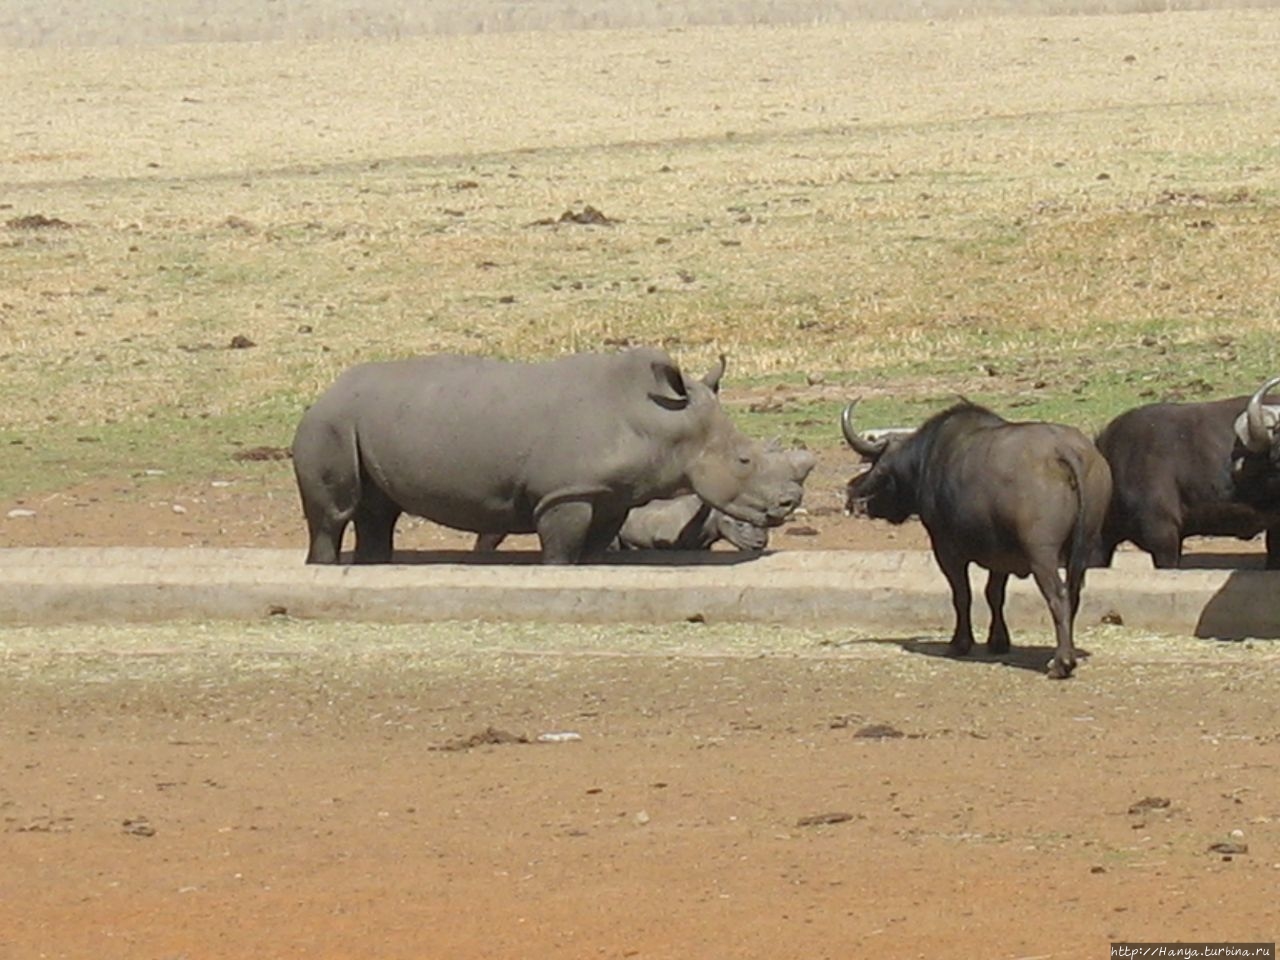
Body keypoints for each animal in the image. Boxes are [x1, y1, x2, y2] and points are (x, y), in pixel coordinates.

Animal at [294, 350, 803, 568]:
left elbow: (593, 548)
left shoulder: (610, 495)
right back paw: (326, 566)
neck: (659, 420)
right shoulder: (564, 494)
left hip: (357, 421)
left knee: (378, 512)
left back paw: (375, 565)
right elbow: (561, 550)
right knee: (334, 515)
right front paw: (555, 570)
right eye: (744, 460)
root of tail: (326, 392)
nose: (789, 504)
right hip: (329, 425)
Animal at [839, 401, 1111, 680]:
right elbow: (994, 594)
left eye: (875, 466)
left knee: (1058, 596)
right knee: (1074, 595)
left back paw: (1061, 663)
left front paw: (959, 643)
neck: (927, 459)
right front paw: (998, 641)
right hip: (1083, 548)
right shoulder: (1000, 556)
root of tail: (1065, 450)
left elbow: (962, 595)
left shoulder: (946, 550)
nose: (853, 493)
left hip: (1041, 555)